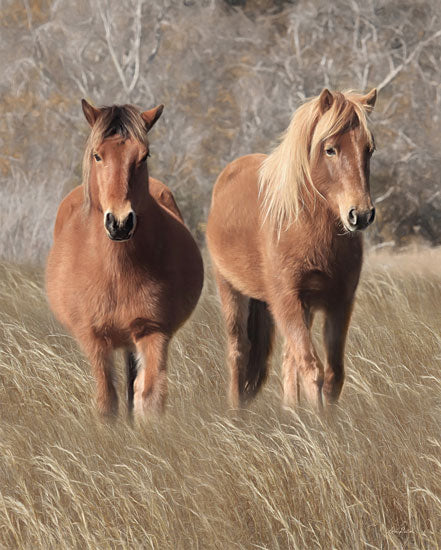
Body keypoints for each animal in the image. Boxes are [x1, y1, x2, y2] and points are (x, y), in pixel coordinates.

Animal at [45, 101, 204, 420]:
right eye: (97, 155)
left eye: (144, 156)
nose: (119, 223)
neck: (115, 269)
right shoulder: (94, 338)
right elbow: (107, 402)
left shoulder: (153, 331)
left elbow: (149, 398)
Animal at [205, 88, 374, 412]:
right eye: (330, 150)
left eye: (369, 149)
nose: (360, 215)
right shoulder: (286, 300)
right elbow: (312, 369)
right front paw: (317, 423)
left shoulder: (339, 303)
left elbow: (333, 375)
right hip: (231, 290)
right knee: (238, 350)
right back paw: (236, 413)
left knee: (287, 360)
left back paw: (290, 412)